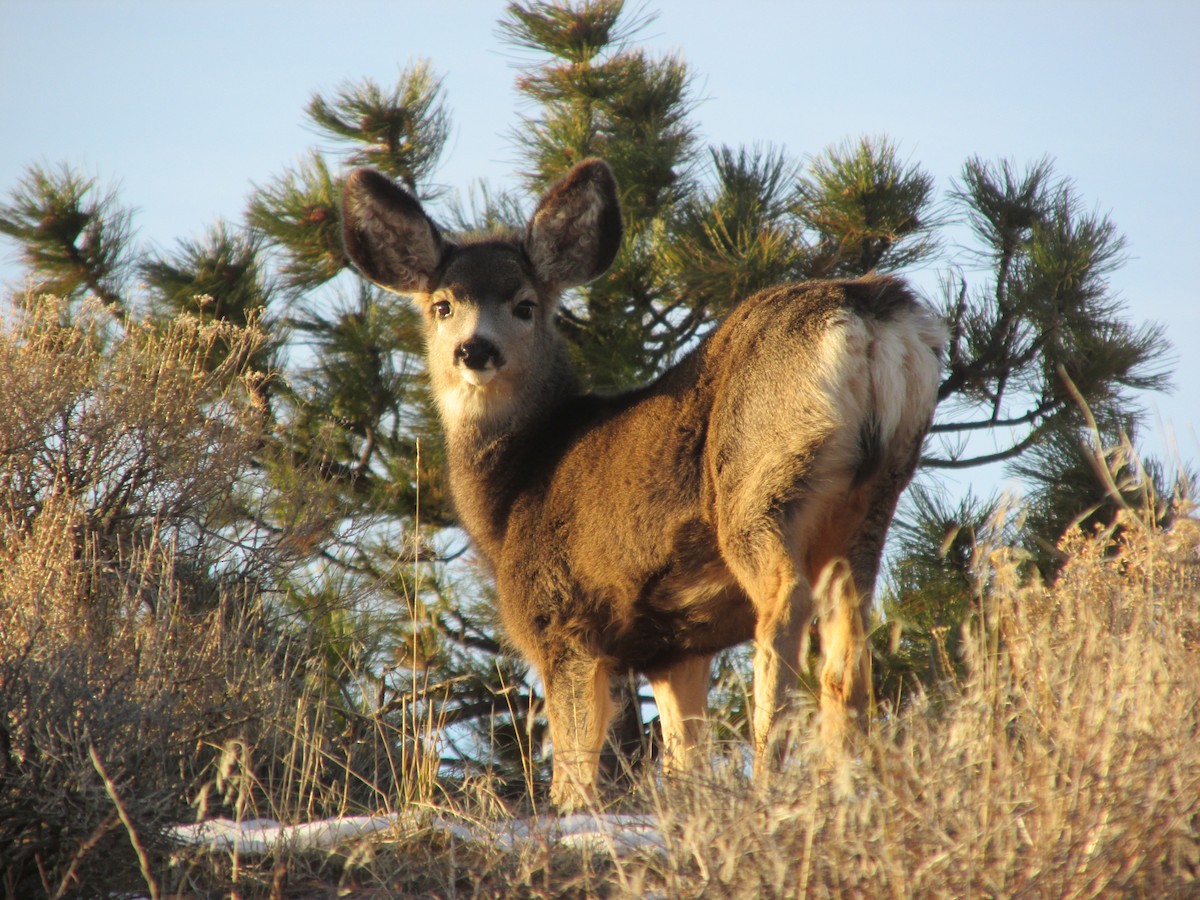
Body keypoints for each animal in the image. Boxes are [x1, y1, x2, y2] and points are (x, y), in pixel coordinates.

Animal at [341, 158, 946, 809]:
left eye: (525, 305)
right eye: (442, 305)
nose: (475, 350)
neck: (513, 494)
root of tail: (867, 310)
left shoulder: (563, 621)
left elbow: (576, 761)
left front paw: (571, 808)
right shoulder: (674, 647)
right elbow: (685, 749)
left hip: (761, 478)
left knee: (787, 601)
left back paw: (770, 767)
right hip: (875, 495)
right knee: (850, 624)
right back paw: (849, 771)